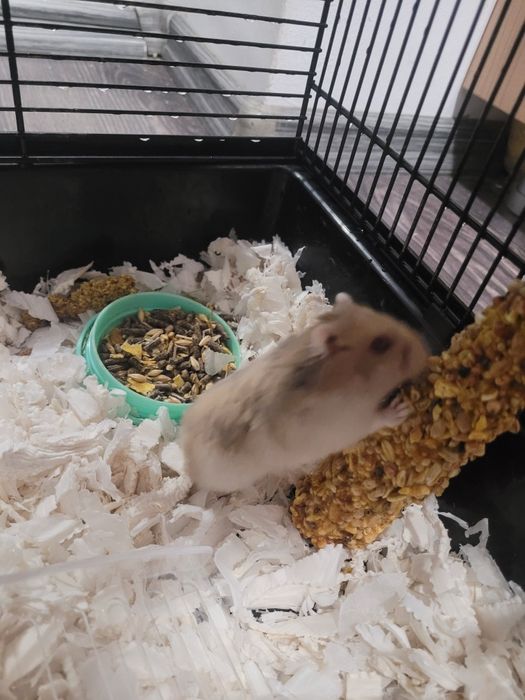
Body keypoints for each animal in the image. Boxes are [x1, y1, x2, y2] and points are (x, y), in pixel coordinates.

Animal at [180, 292, 429, 494]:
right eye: (380, 344)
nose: (424, 349)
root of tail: (189, 466)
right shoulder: (347, 423)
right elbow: (376, 420)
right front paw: (401, 409)